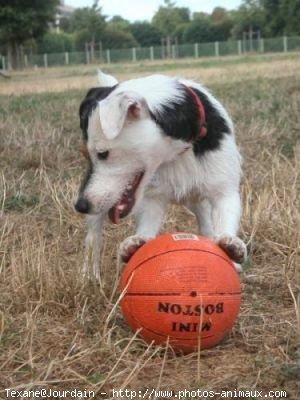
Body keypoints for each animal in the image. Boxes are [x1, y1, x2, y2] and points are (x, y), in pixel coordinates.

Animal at [74, 70, 246, 280]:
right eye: (85, 154)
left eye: (102, 153)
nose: (80, 205)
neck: (175, 152)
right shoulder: (151, 198)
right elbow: (147, 224)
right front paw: (136, 245)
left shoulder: (224, 189)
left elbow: (225, 216)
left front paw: (230, 246)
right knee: (94, 234)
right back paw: (88, 273)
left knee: (205, 219)